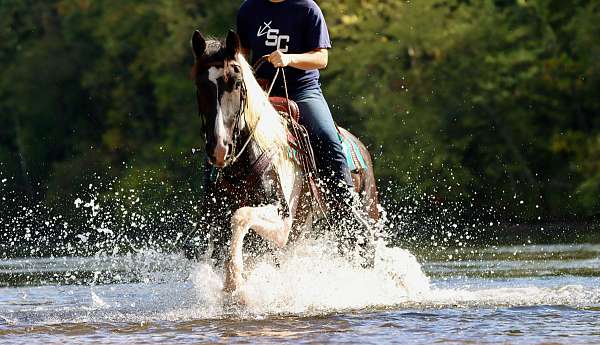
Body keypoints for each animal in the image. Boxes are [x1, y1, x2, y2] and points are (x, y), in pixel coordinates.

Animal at [191, 30, 380, 292]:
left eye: (237, 83)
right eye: (200, 85)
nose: (220, 148)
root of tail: (360, 147)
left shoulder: (283, 223)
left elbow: (240, 216)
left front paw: (233, 280)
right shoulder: (215, 222)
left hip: (360, 221)